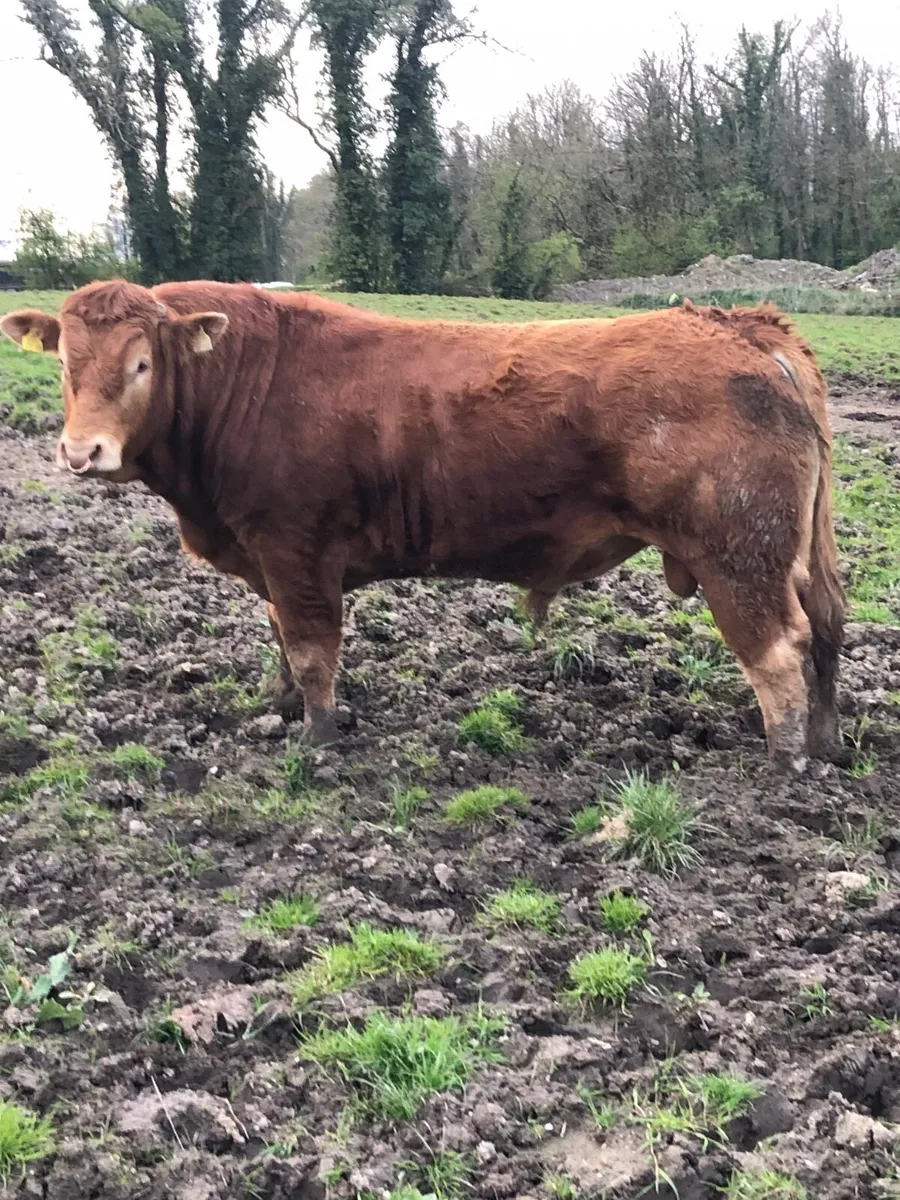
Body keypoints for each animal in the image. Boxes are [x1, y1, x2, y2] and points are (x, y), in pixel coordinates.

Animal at [1, 281, 845, 772]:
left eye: (141, 364)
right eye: (65, 362)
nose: (82, 451)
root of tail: (740, 325)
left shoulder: (296, 551)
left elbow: (311, 651)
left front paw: (318, 738)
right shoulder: (272, 563)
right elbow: (278, 640)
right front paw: (278, 708)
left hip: (738, 556)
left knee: (779, 651)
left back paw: (785, 761)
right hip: (794, 553)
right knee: (828, 632)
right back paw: (825, 741)